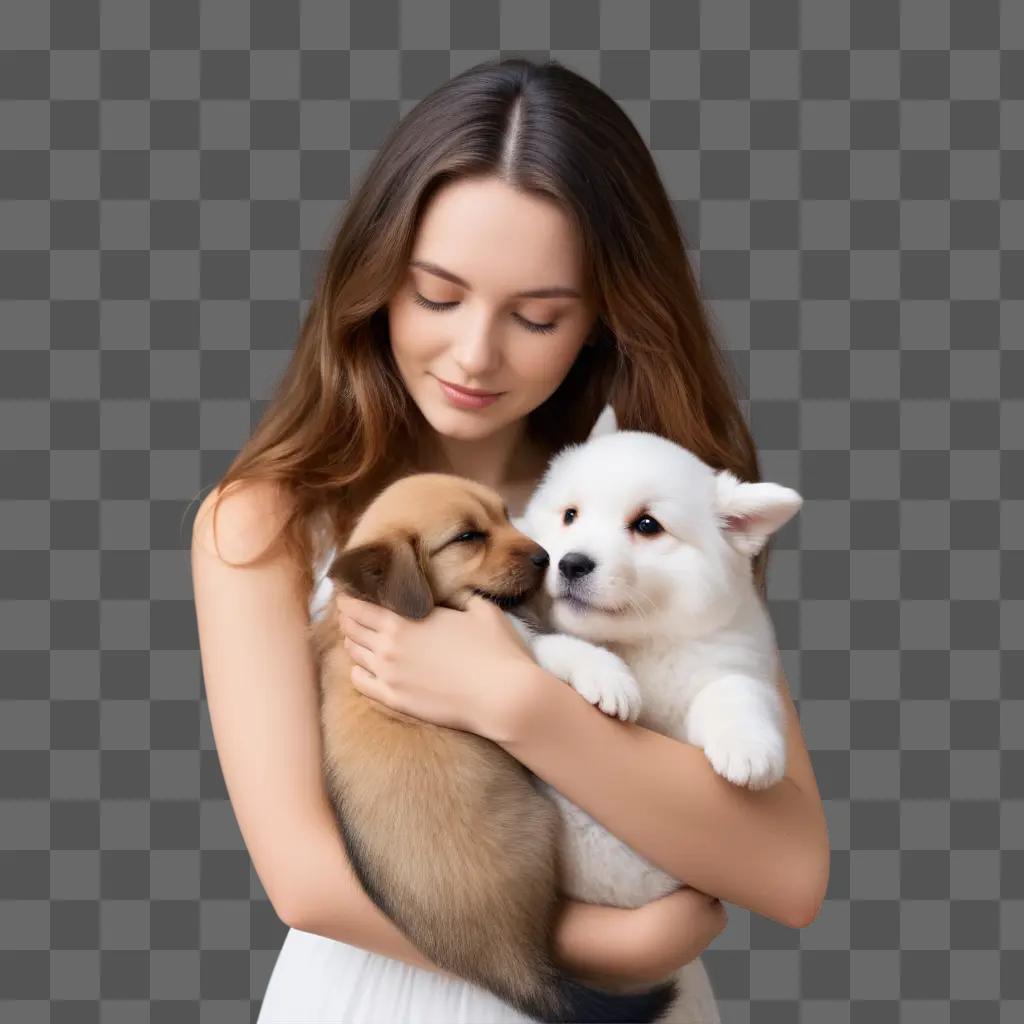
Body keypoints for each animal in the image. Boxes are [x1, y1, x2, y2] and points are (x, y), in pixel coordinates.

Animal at [311, 475, 679, 1019]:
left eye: (506, 515)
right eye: (468, 537)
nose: (547, 558)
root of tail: (512, 964)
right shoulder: (515, 645)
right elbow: (562, 648)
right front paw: (610, 679)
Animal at [507, 405, 802, 905]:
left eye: (647, 525)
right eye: (570, 515)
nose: (570, 563)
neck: (637, 642)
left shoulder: (730, 660)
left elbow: (735, 689)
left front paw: (747, 746)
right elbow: (554, 645)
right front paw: (608, 678)